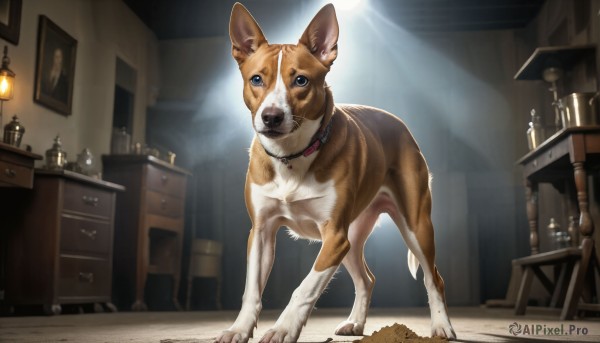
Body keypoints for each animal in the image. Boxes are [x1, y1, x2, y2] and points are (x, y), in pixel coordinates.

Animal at [218, 3, 458, 343]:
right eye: (256, 79)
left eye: (301, 80)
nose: (271, 117)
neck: (291, 157)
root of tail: (400, 124)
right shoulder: (261, 233)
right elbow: (251, 290)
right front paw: (239, 329)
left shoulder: (333, 237)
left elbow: (304, 288)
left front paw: (283, 328)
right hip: (352, 240)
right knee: (366, 279)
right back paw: (355, 323)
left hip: (415, 227)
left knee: (433, 277)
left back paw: (441, 326)